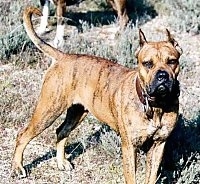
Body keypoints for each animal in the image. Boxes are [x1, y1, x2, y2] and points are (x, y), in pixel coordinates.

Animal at [11, 6, 182, 184]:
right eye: (147, 63)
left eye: (172, 61)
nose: (162, 75)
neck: (156, 106)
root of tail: (63, 56)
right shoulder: (130, 147)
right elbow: (132, 177)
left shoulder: (158, 145)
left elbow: (151, 176)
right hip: (48, 111)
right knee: (23, 134)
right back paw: (18, 167)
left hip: (77, 113)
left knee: (61, 131)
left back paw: (61, 162)